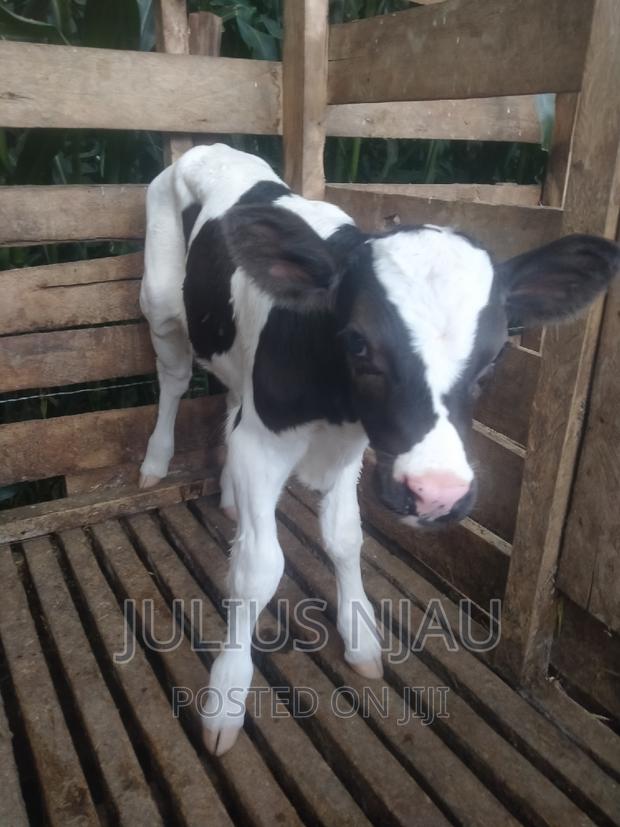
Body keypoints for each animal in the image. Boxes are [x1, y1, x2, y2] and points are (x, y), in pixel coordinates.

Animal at [139, 144, 619, 755]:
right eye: (359, 343)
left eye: (495, 358)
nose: (437, 493)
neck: (334, 403)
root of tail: (210, 148)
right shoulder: (262, 444)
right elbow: (259, 567)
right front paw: (226, 696)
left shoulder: (355, 445)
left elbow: (345, 537)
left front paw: (361, 637)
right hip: (159, 299)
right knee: (174, 378)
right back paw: (154, 463)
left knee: (229, 391)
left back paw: (226, 495)